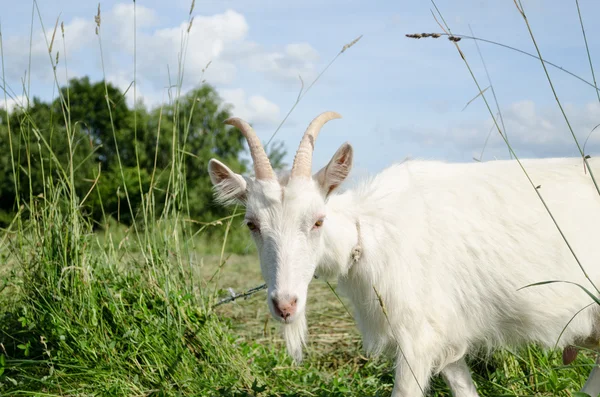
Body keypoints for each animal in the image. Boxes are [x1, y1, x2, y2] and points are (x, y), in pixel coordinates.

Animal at [209, 111, 600, 396]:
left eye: (318, 220)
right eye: (252, 225)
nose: (285, 305)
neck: (368, 232)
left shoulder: (416, 334)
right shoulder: (443, 332)